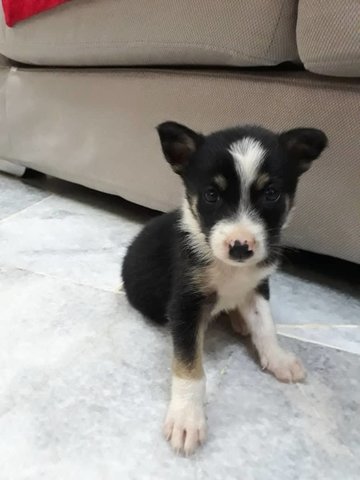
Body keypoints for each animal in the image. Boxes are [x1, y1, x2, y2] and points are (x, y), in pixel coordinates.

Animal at [122, 122, 328, 456]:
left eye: (271, 194)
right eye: (211, 195)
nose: (240, 247)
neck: (231, 269)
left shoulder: (257, 286)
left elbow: (266, 326)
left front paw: (278, 359)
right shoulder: (186, 303)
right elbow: (189, 365)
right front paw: (187, 419)